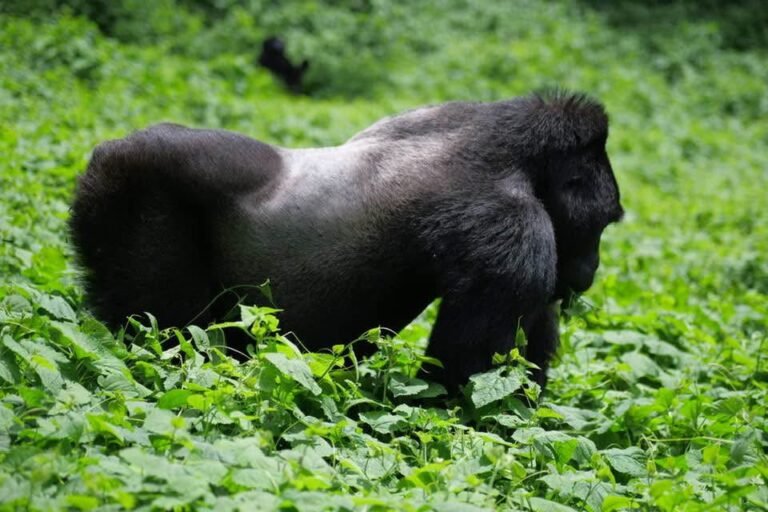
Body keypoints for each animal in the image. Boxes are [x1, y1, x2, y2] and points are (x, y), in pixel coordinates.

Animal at [70, 91, 623, 391]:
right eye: (603, 223)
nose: (591, 270)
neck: (522, 153)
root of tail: (108, 150)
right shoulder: (513, 231)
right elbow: (466, 377)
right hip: (129, 187)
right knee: (166, 328)